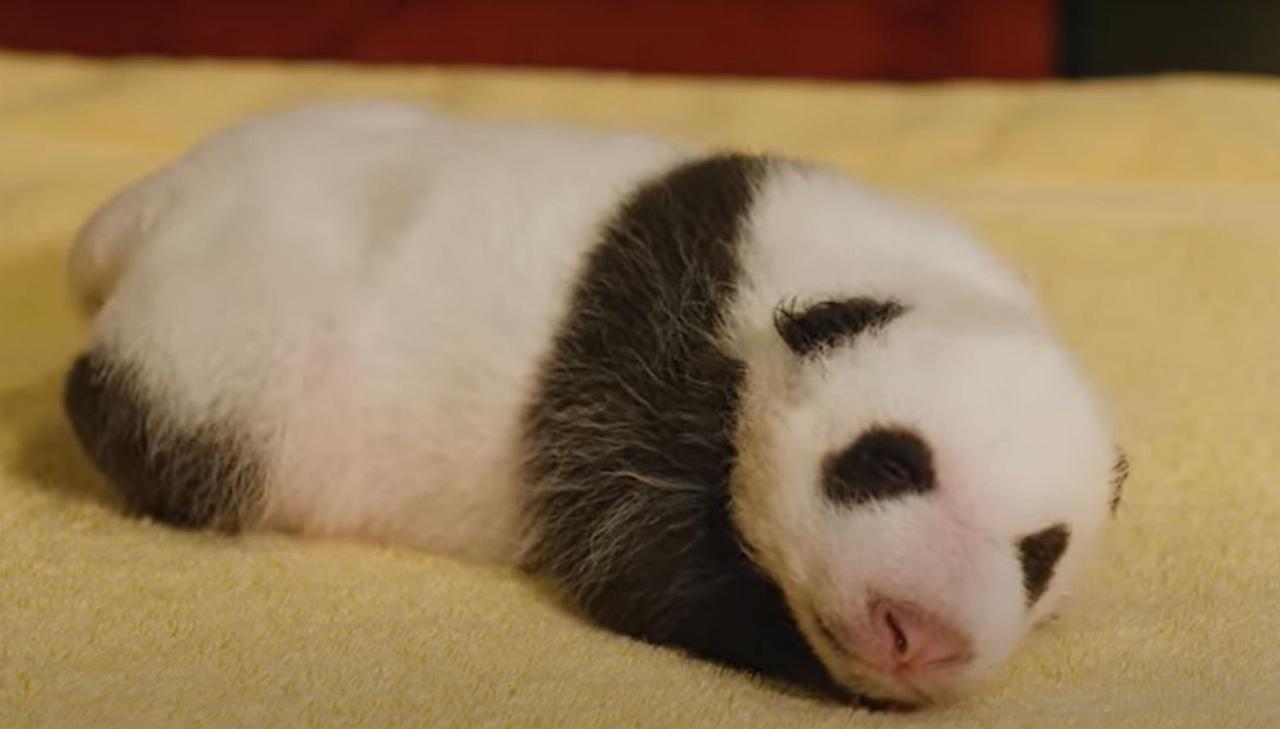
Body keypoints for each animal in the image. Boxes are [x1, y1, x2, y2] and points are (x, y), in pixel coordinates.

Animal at [60, 102, 1126, 705]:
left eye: (1040, 554)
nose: (921, 633)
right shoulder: (640, 372)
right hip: (234, 360)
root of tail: (152, 210)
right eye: (888, 461)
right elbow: (639, 559)